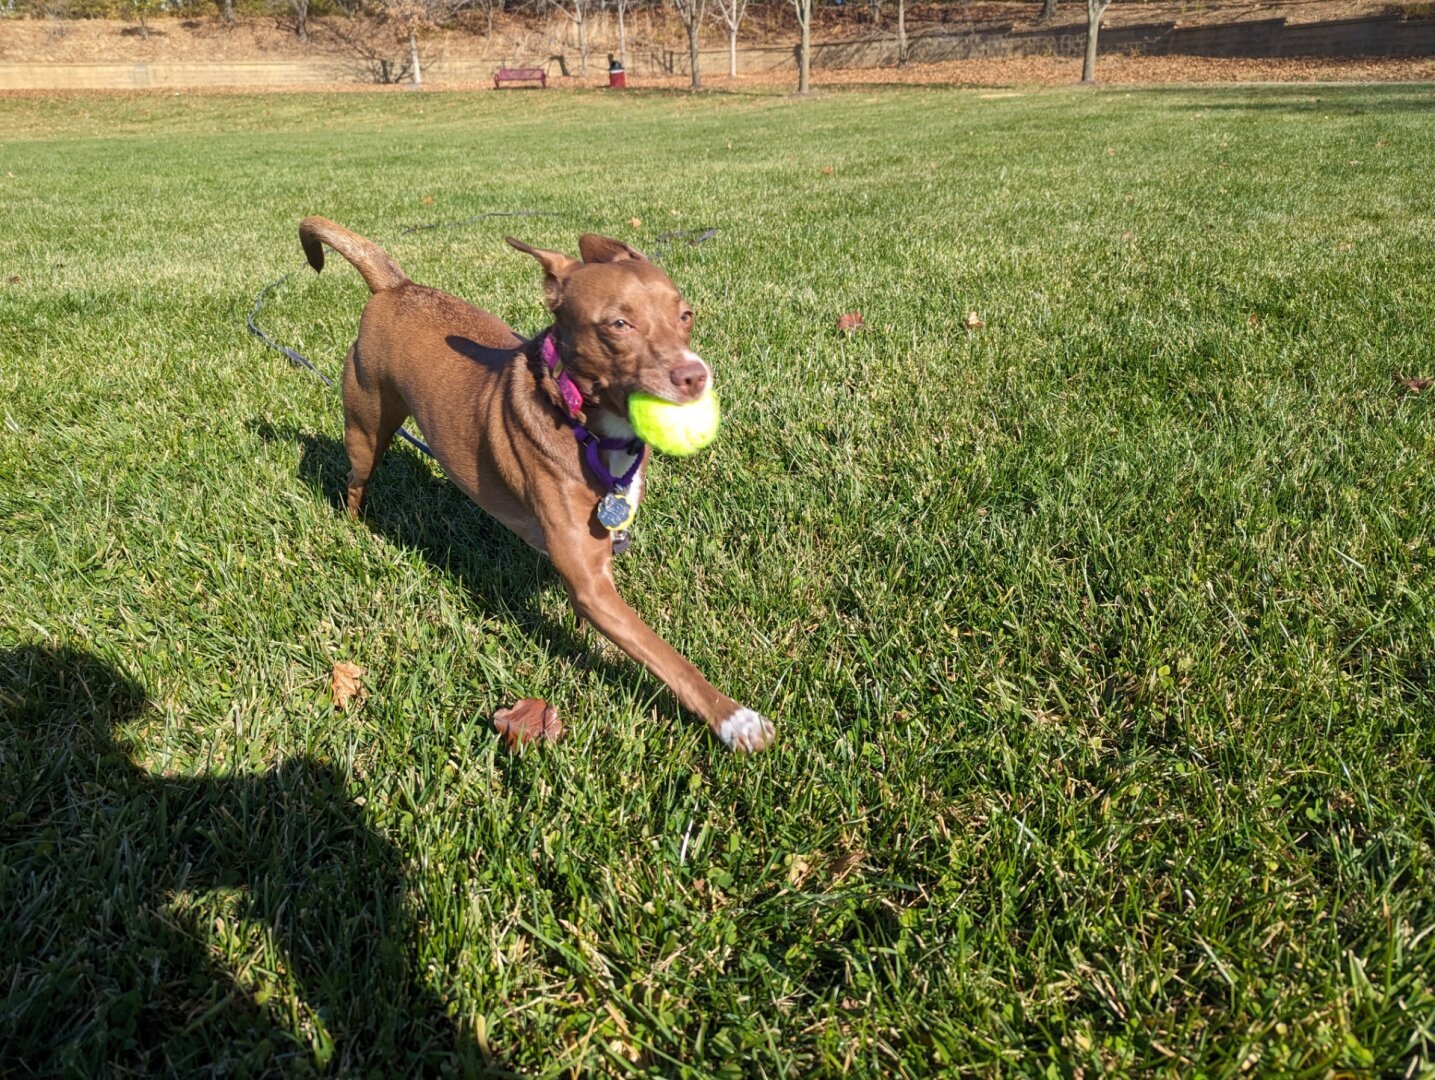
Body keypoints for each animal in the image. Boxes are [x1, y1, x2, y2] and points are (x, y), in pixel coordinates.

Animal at [297, 216, 780, 751]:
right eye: (618, 325)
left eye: (686, 315)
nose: (695, 377)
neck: (587, 428)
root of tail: (396, 287)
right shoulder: (591, 584)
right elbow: (666, 657)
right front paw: (733, 718)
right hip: (366, 428)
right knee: (355, 482)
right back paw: (356, 528)